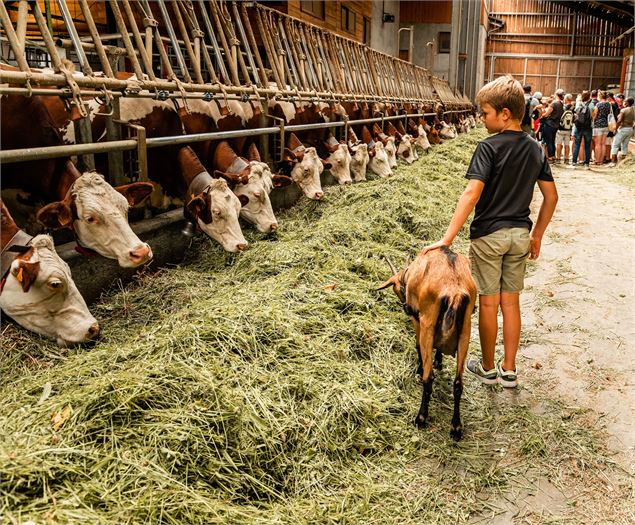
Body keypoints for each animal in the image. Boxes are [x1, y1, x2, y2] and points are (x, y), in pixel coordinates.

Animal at [378, 246, 476, 438]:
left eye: (398, 290)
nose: (404, 306)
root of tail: (454, 291)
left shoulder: (419, 320)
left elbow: (418, 346)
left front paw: (419, 367)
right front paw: (439, 361)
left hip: (428, 323)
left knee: (429, 378)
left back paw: (421, 418)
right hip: (465, 331)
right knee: (458, 383)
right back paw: (456, 427)